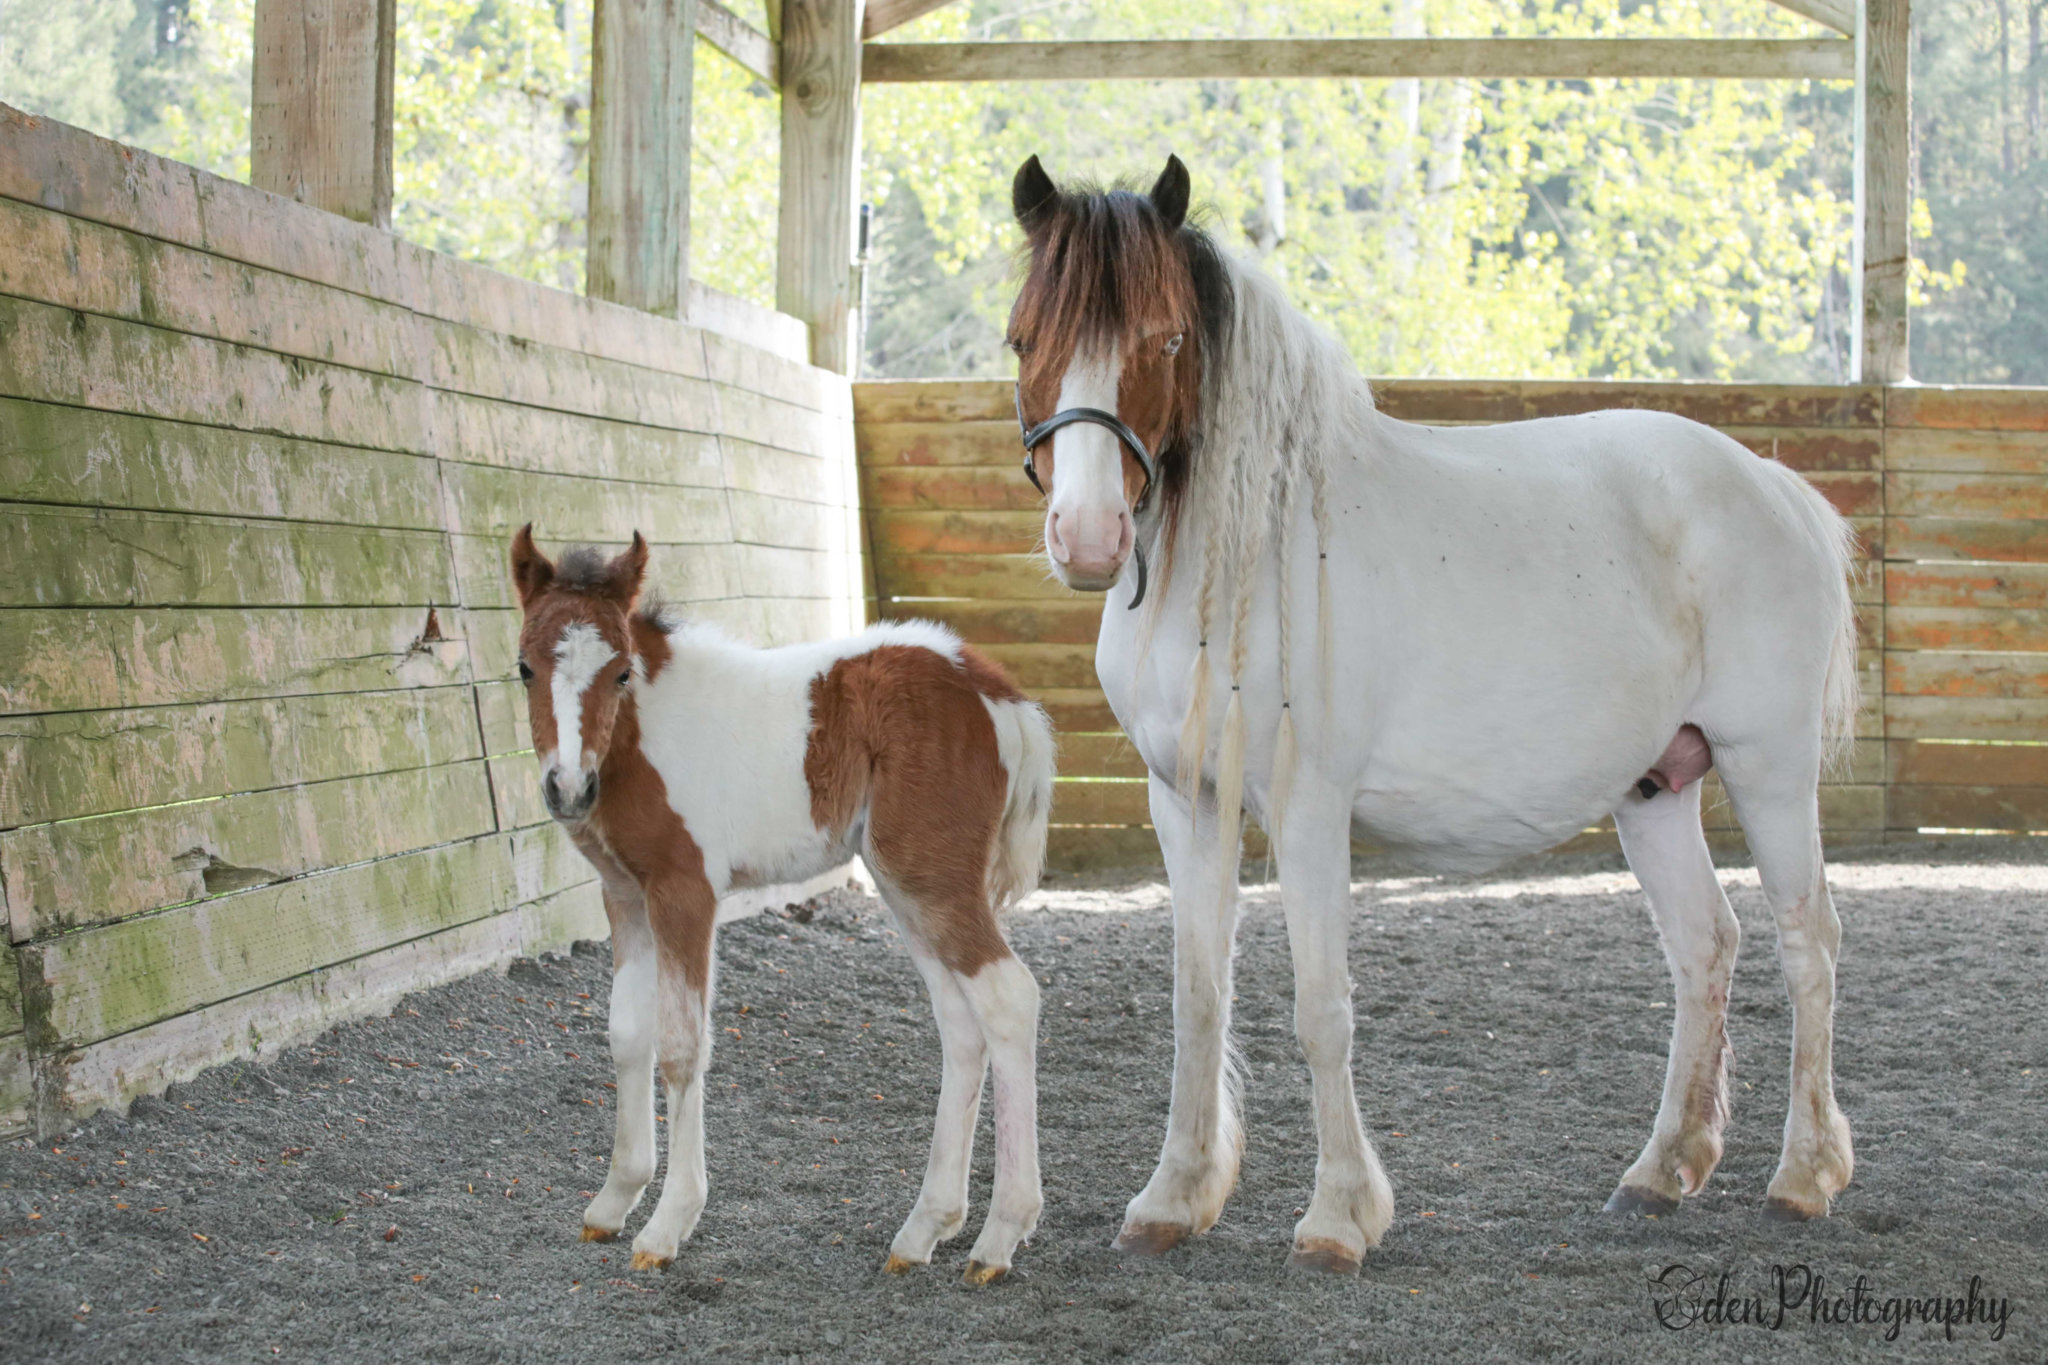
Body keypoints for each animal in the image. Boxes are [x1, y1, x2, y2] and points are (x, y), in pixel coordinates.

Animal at [508, 527, 1056, 1281]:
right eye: (524, 669)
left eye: (620, 673)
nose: (568, 788)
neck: (639, 742)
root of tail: (993, 689)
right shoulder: (623, 894)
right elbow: (626, 1034)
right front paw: (614, 1198)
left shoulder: (684, 890)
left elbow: (681, 1046)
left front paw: (667, 1223)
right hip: (907, 884)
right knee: (961, 1023)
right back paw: (926, 1228)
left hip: (931, 878)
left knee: (1008, 999)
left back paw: (1000, 1236)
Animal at [1004, 155, 1861, 1273]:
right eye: (1024, 337)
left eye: (1166, 339)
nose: (1089, 535)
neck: (1251, 554)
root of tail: (1767, 483)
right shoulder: (1183, 803)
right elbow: (1199, 996)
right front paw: (1173, 1199)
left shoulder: (1308, 808)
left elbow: (1320, 1007)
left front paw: (1337, 1217)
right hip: (1655, 787)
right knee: (1704, 946)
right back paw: (1660, 1172)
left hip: (1769, 768)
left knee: (1807, 945)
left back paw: (1803, 1178)